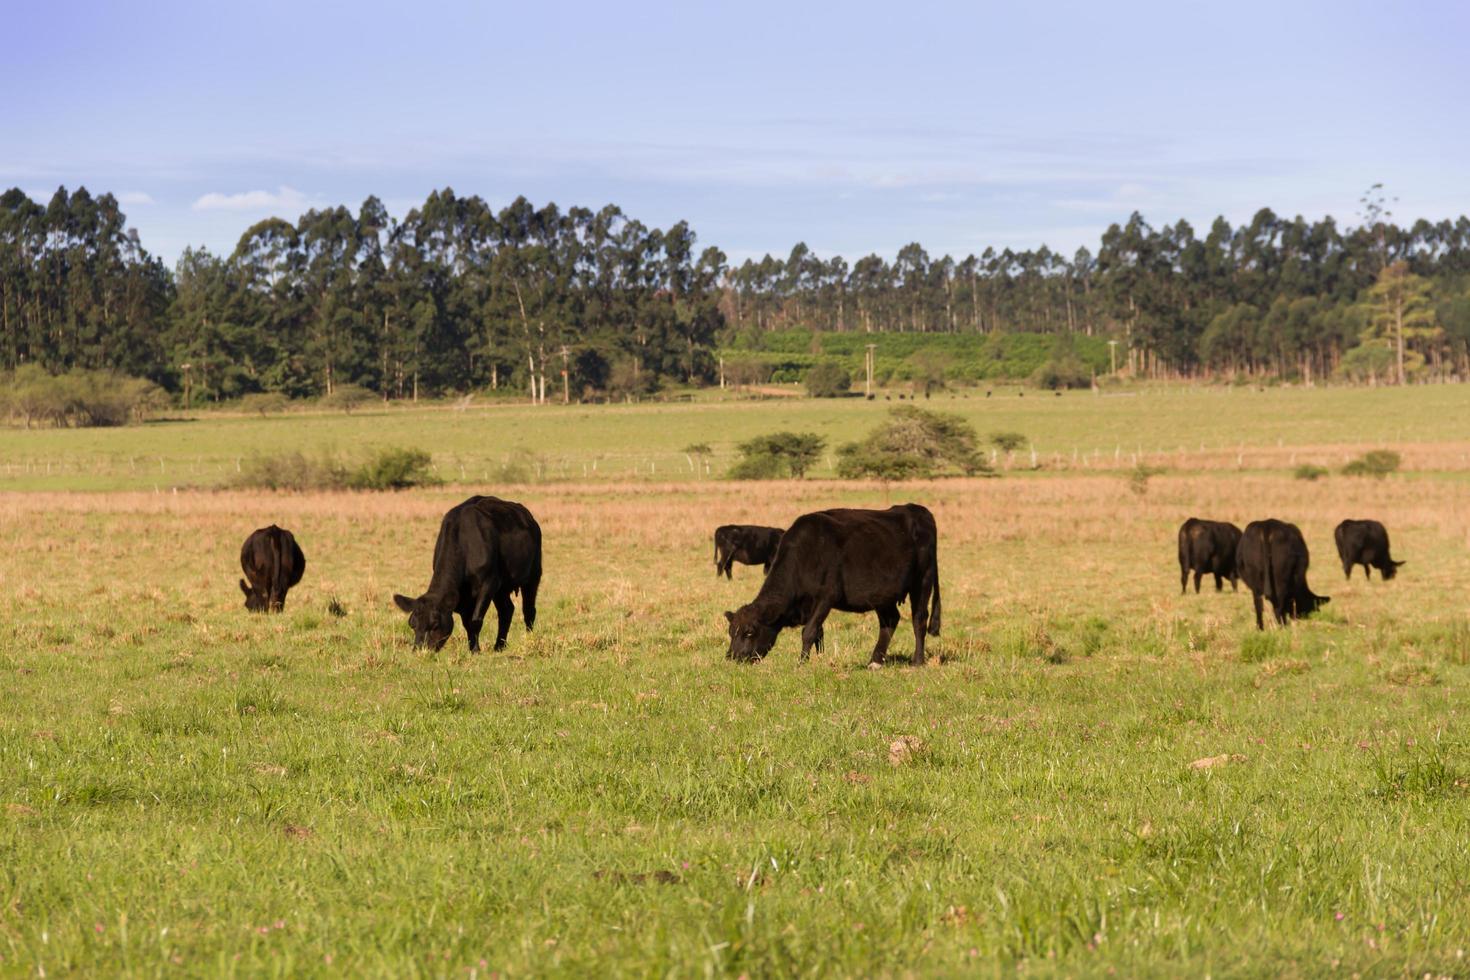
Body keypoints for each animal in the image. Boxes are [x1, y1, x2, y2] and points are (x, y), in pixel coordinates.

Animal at [393, 499, 543, 652]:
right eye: (412, 624)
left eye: (435, 625)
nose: (419, 650)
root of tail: (528, 517)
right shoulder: (465, 597)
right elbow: (467, 623)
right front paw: (473, 648)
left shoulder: (489, 583)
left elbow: (475, 620)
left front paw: (475, 650)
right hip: (501, 589)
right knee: (506, 610)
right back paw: (499, 646)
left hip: (533, 574)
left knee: (529, 610)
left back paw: (528, 640)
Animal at [723, 505, 940, 667]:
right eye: (731, 632)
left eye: (749, 632)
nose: (732, 657)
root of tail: (918, 510)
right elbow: (819, 634)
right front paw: (818, 659)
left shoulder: (826, 597)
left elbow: (809, 631)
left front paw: (801, 663)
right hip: (882, 594)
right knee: (890, 621)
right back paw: (875, 661)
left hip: (923, 580)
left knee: (919, 618)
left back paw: (917, 661)